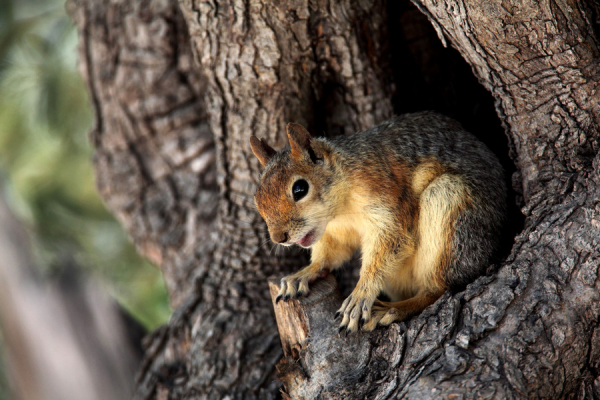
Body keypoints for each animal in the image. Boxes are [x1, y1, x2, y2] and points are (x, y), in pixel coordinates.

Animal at [248, 111, 506, 332]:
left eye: (300, 188)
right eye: (257, 198)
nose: (278, 238)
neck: (340, 210)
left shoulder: (385, 198)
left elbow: (393, 242)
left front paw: (361, 294)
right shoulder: (335, 231)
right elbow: (330, 255)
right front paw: (304, 273)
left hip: (452, 207)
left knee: (437, 289)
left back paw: (394, 309)